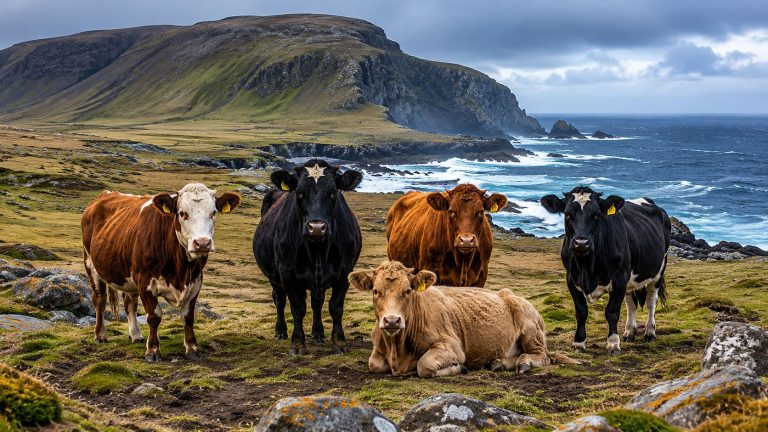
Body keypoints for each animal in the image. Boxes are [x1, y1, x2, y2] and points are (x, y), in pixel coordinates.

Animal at [81, 184, 240, 362]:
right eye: (182, 213)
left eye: (213, 212)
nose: (202, 243)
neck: (181, 272)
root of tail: (103, 195)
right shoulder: (145, 281)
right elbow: (154, 317)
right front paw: (152, 351)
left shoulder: (196, 281)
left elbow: (188, 317)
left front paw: (192, 349)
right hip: (91, 263)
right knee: (100, 300)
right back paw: (100, 335)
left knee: (130, 302)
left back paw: (135, 335)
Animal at [253, 159, 363, 355]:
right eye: (299, 193)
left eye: (333, 192)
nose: (316, 227)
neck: (318, 251)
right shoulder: (287, 272)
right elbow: (297, 308)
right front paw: (297, 344)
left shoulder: (345, 270)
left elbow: (336, 306)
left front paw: (339, 342)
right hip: (274, 276)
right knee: (279, 299)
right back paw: (280, 332)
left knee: (317, 302)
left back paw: (318, 334)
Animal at [348, 260, 576, 377]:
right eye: (375, 291)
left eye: (408, 290)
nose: (392, 320)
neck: (398, 350)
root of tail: (509, 294)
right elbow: (374, 364)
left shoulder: (452, 346)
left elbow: (425, 365)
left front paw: (460, 368)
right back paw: (499, 363)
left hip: (529, 329)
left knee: (542, 355)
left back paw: (524, 363)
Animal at [540, 186, 671, 355]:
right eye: (567, 214)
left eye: (596, 214)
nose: (581, 243)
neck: (587, 267)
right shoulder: (571, 279)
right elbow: (581, 311)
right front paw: (579, 343)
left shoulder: (619, 278)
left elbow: (612, 312)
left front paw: (613, 344)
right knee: (631, 303)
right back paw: (629, 332)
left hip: (658, 272)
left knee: (650, 301)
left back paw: (649, 332)